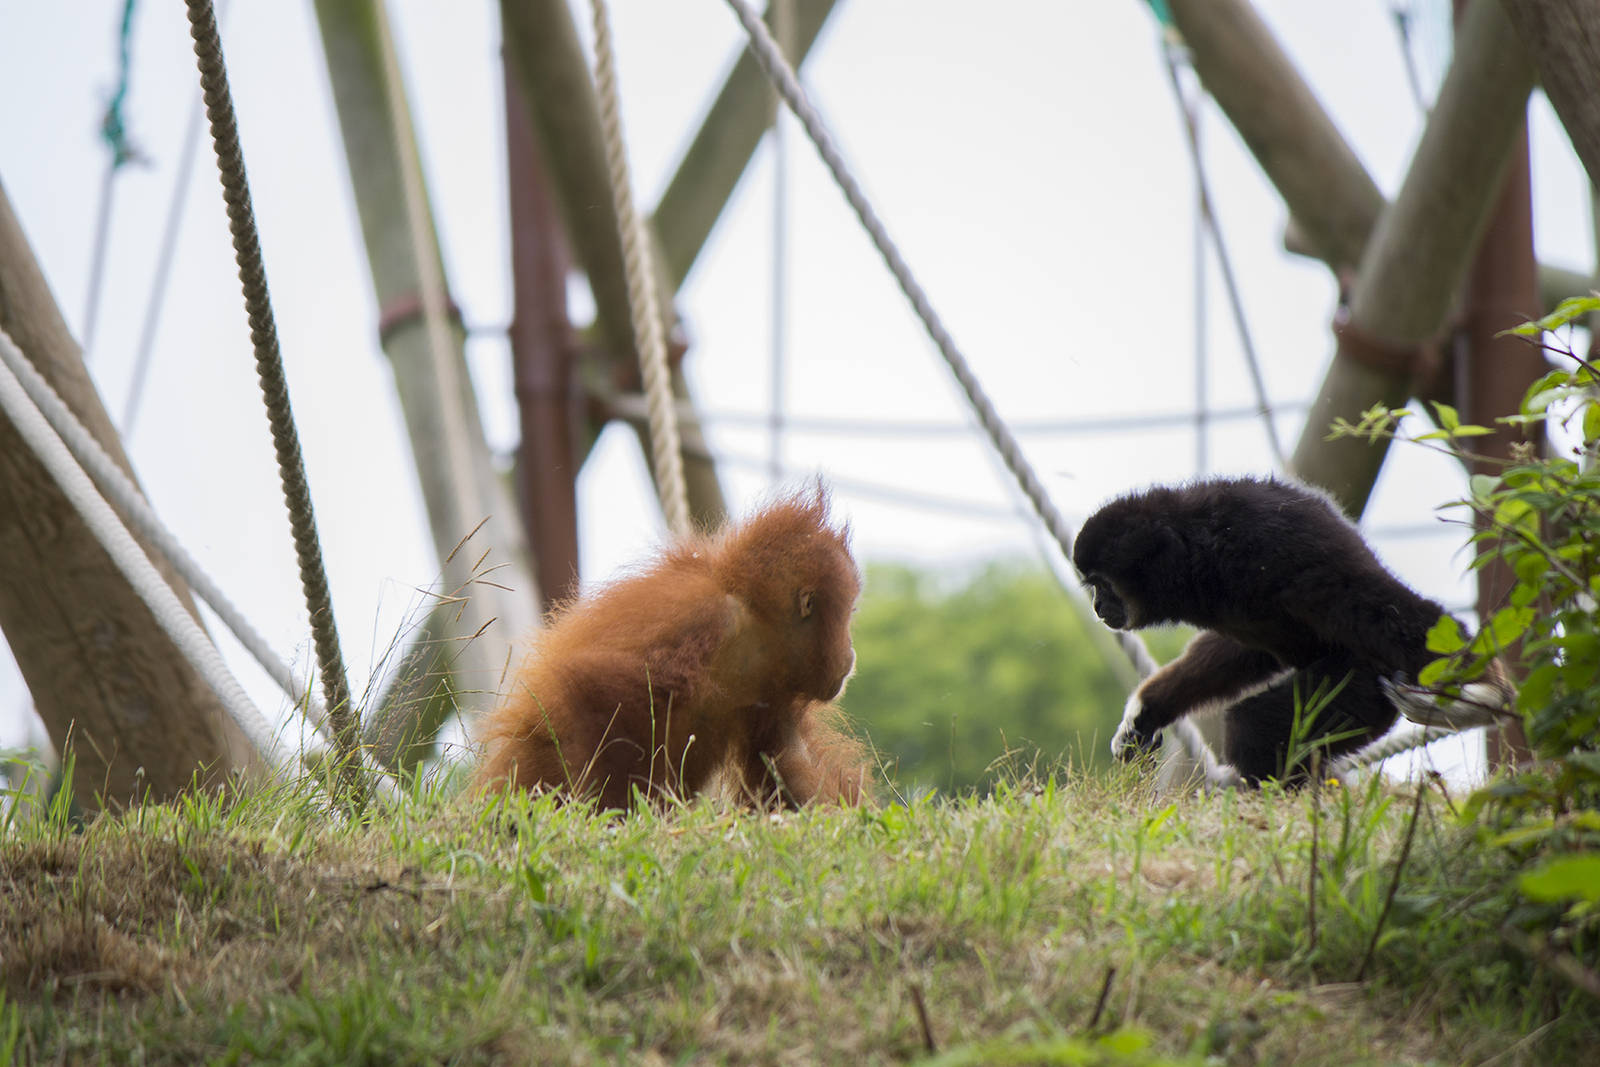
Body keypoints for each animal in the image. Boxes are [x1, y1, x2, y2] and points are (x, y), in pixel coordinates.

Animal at [472, 489, 872, 811]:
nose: (852, 652)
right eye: (850, 613)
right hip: (531, 763)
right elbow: (595, 687)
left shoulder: (773, 691)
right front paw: (618, 813)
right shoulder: (704, 619)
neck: (752, 630)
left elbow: (791, 757)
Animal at [1072, 476, 1507, 785]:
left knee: (1253, 727)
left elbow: (1378, 603)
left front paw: (1487, 696)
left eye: (1102, 585)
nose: (1097, 607)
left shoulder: (1273, 541)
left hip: (1361, 685)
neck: (1198, 549)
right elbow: (1245, 654)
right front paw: (1146, 709)